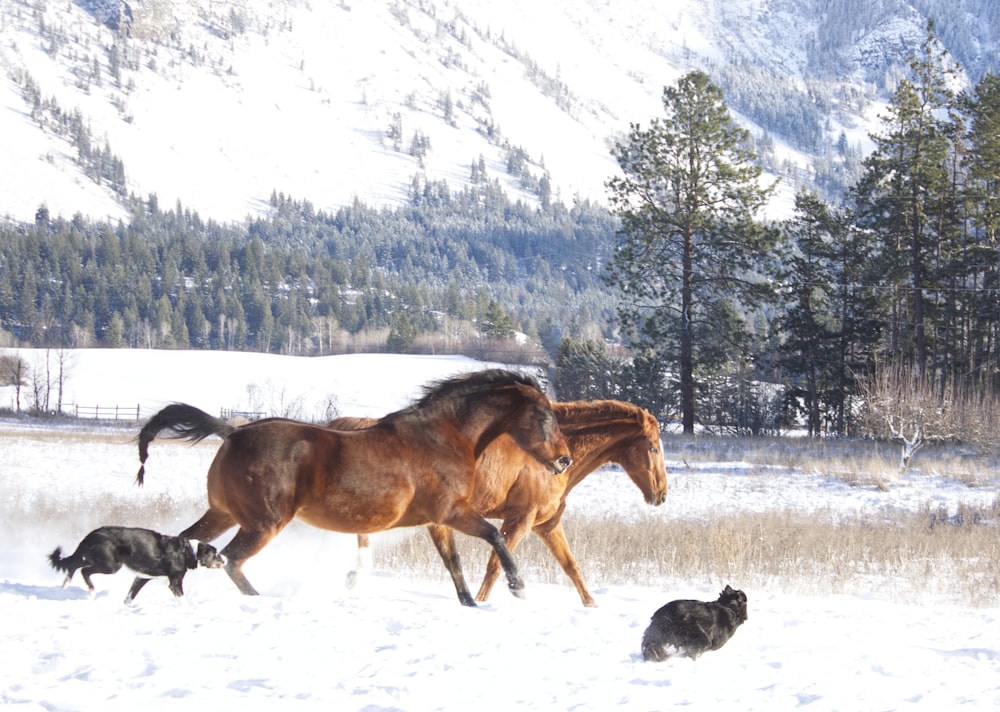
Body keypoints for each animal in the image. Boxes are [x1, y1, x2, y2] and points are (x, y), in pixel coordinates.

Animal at [47, 524, 226, 604]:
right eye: (215, 553)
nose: (224, 559)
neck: (188, 551)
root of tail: (93, 533)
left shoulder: (142, 577)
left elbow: (129, 596)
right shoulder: (175, 581)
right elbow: (182, 599)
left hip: (97, 558)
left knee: (73, 565)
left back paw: (65, 583)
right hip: (111, 565)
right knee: (84, 571)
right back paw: (91, 592)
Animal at [129, 368, 576, 608]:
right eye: (543, 415)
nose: (564, 460)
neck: (445, 435)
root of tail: (233, 432)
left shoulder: (437, 521)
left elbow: (454, 565)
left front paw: (469, 604)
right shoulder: (453, 512)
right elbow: (495, 537)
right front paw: (518, 587)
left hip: (222, 513)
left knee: (182, 543)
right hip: (263, 522)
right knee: (231, 561)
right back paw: (261, 600)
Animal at [332, 400, 668, 608]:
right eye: (653, 447)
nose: (662, 494)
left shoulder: (547, 524)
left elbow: (571, 566)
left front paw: (592, 605)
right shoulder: (520, 519)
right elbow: (496, 564)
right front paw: (484, 599)